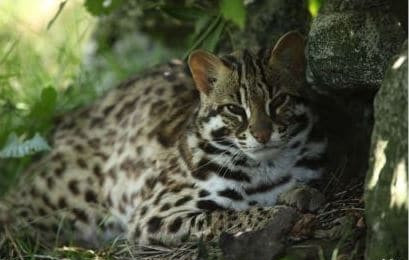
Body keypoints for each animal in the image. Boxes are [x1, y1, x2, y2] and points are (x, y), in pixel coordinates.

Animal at [0, 31, 326, 247]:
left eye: (279, 101)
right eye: (234, 109)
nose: (262, 134)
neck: (267, 168)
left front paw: (300, 196)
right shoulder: (154, 212)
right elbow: (225, 215)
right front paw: (274, 215)